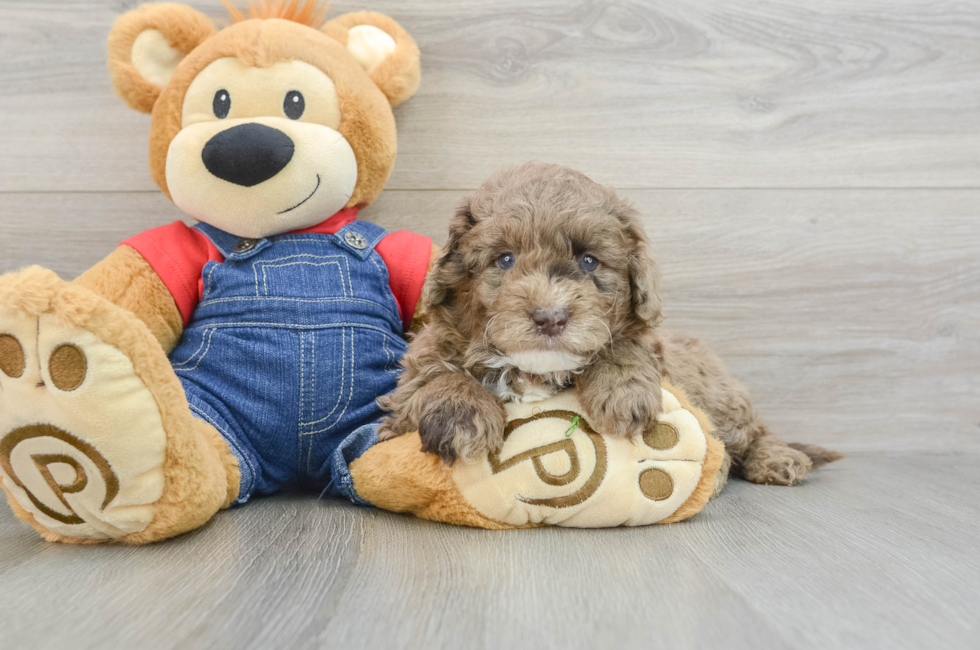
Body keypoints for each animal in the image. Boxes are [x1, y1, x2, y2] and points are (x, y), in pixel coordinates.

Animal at [378, 163, 840, 492]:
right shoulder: (415, 373)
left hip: (721, 398)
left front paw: (623, 393)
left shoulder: (650, 345)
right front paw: (461, 414)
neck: (535, 371)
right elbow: (436, 376)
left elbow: (625, 342)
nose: (550, 317)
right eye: (504, 260)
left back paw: (779, 459)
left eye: (589, 261)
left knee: (753, 430)